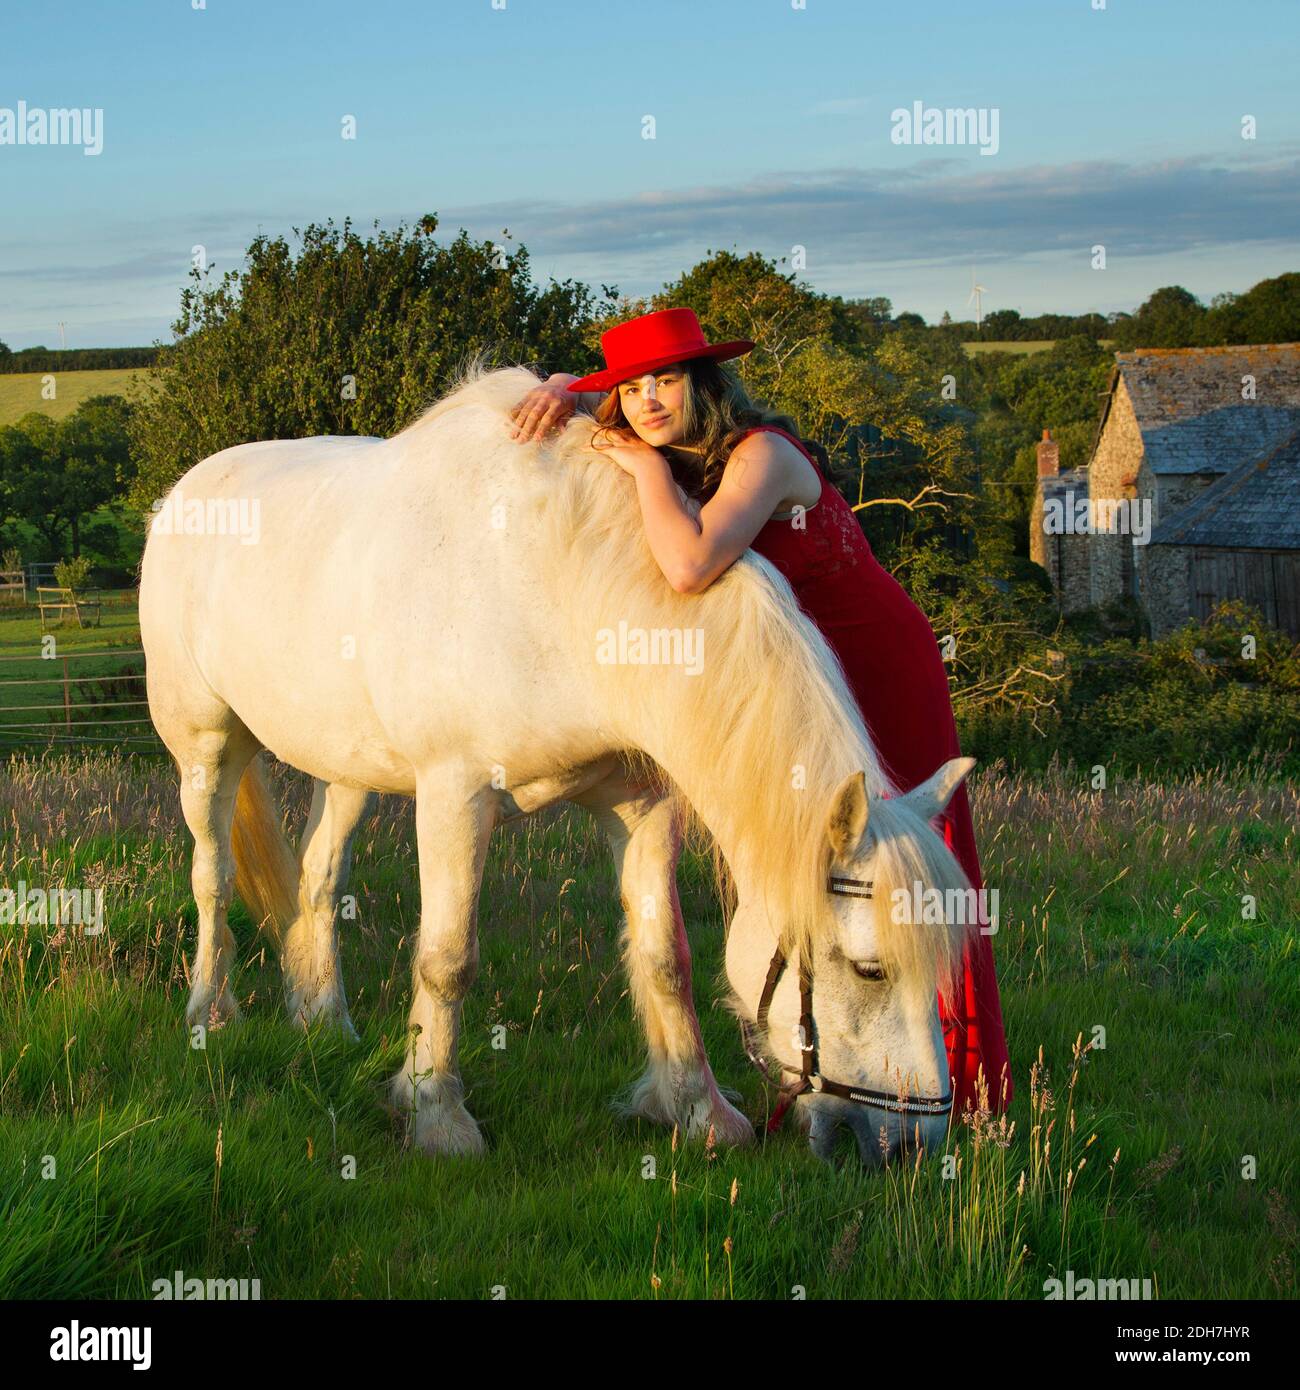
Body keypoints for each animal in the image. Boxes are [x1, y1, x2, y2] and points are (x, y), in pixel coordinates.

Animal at [142, 364, 978, 1167]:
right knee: (212, 875)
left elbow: (666, 958)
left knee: (318, 879)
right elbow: (447, 960)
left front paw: (700, 1113)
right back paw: (208, 1015)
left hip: (346, 767)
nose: (908, 1146)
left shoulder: (640, 807)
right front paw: (435, 1114)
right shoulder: (454, 797)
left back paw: (324, 1025)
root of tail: (184, 492)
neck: (559, 578)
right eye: (870, 969)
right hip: (206, 748)